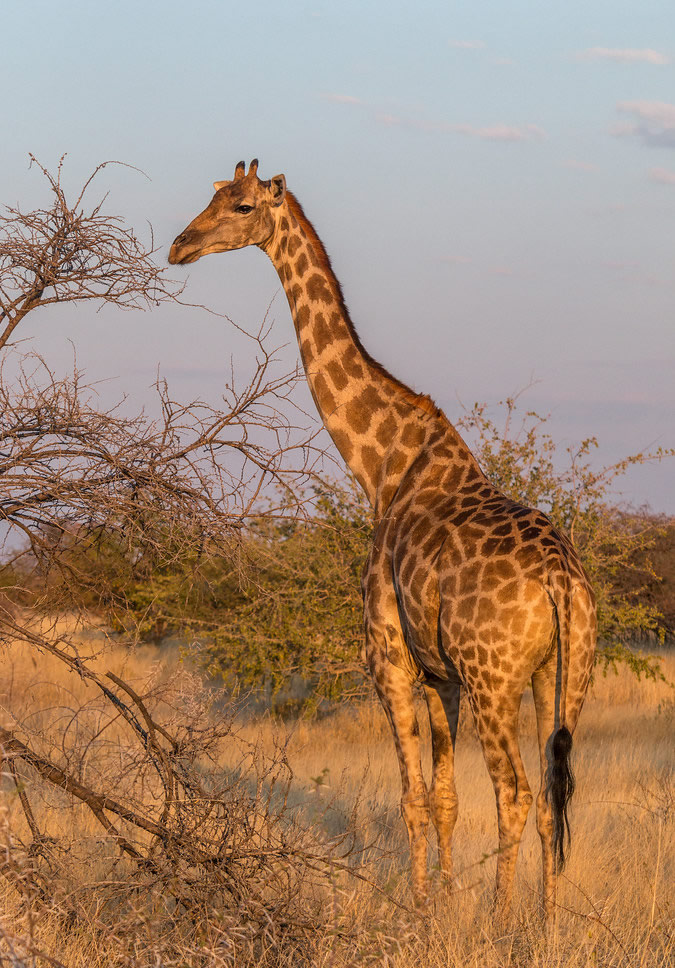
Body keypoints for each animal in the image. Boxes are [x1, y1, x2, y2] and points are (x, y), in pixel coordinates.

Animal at [169, 160, 597, 918]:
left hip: (495, 678)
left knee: (515, 792)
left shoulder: (389, 657)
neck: (382, 465)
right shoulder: (440, 674)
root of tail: (559, 579)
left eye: (242, 207)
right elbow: (446, 798)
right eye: (213, 195)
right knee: (552, 793)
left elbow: (411, 800)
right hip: (562, 674)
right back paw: (545, 925)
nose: (179, 245)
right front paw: (445, 905)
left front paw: (426, 915)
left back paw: (501, 922)